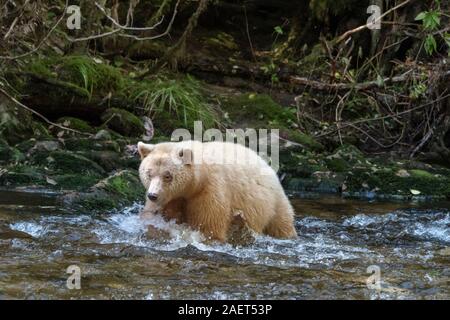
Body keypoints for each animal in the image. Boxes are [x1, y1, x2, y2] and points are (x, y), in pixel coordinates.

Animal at [137, 141, 298, 242]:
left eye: (167, 176)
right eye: (149, 173)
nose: (153, 195)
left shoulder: (210, 191)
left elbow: (209, 227)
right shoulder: (171, 198)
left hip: (273, 203)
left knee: (281, 223)